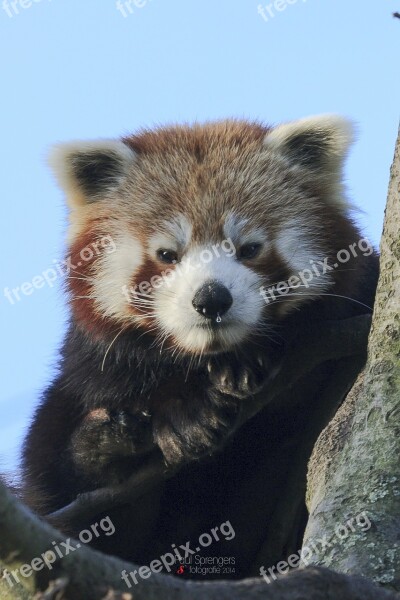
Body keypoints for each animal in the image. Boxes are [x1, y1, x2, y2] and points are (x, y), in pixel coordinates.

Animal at [21, 115, 378, 580]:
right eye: (166, 254)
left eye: (249, 249)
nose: (211, 299)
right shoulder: (92, 365)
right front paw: (184, 413)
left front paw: (247, 362)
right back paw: (101, 446)